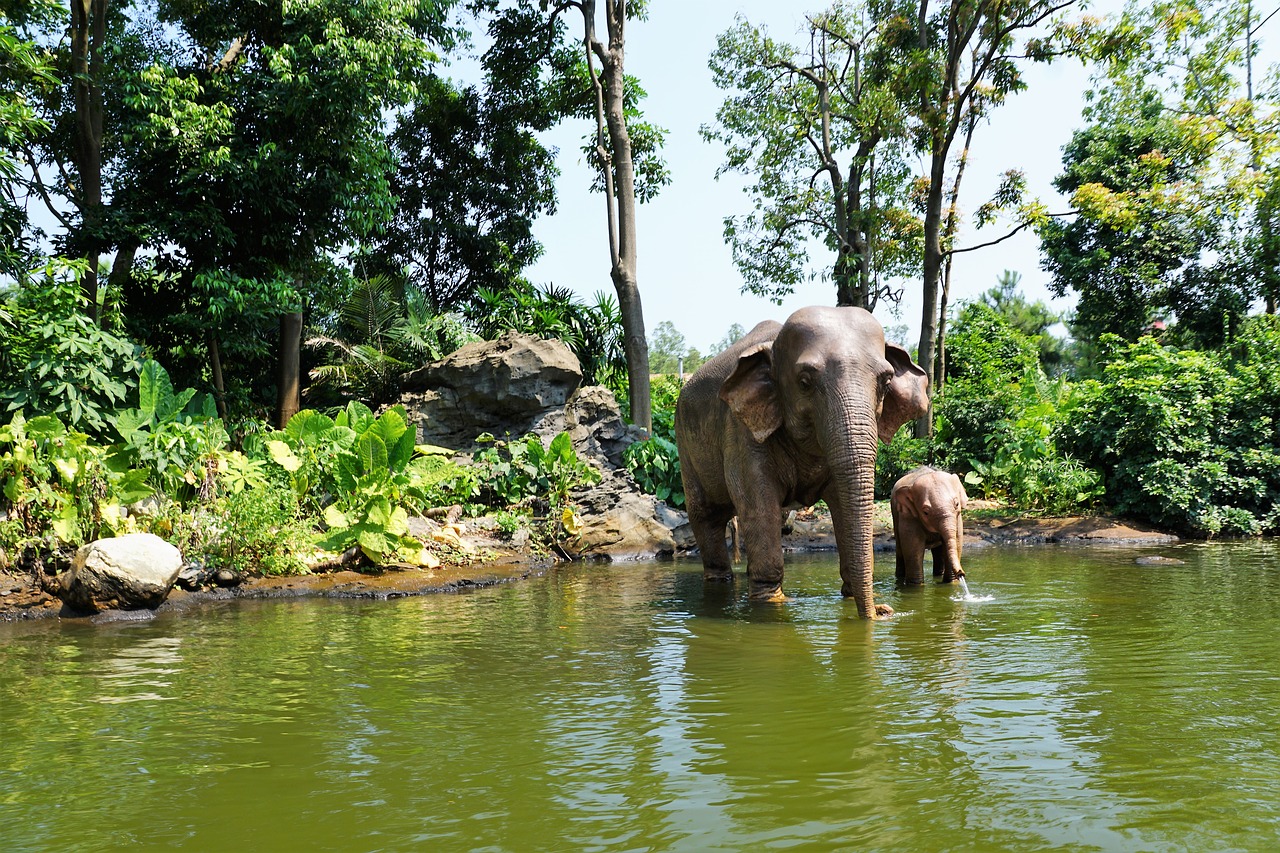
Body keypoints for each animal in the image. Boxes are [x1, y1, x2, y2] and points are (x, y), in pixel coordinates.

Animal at [680, 307, 931, 617]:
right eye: (804, 383)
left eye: (885, 382)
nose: (885, 610)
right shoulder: (740, 431)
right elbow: (758, 504)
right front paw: (773, 604)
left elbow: (841, 503)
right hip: (685, 444)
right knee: (707, 516)